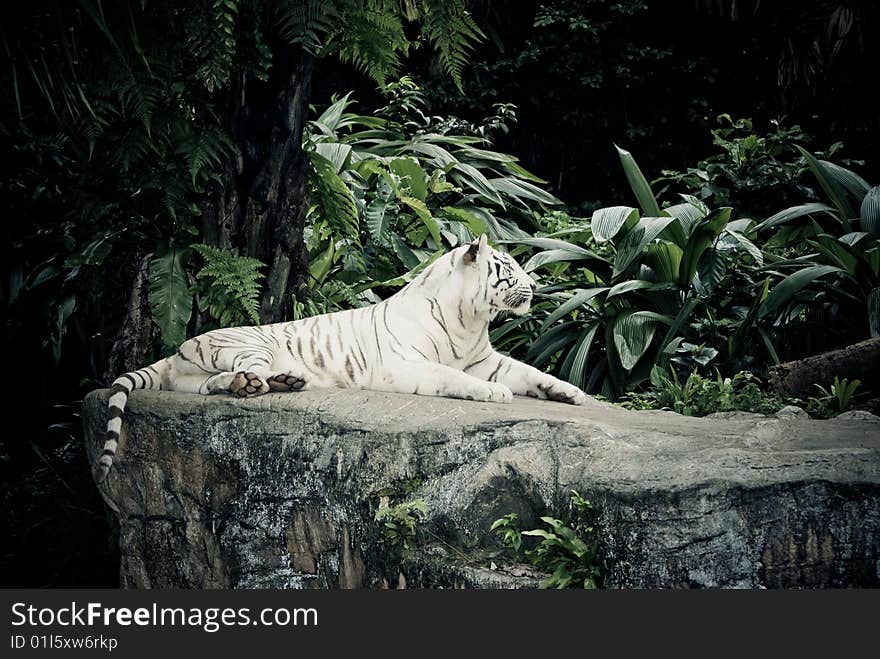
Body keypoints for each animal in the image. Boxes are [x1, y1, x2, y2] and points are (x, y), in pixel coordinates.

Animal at [94, 235, 584, 482]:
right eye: (509, 270)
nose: (536, 288)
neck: (471, 317)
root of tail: (177, 349)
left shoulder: (486, 358)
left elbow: (531, 371)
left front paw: (573, 392)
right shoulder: (407, 365)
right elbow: (455, 378)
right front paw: (493, 393)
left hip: (200, 372)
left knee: (211, 384)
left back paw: (279, 383)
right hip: (251, 345)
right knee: (241, 374)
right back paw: (270, 383)